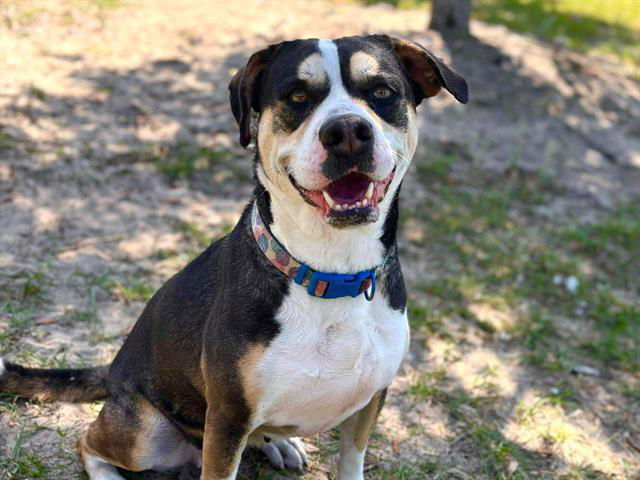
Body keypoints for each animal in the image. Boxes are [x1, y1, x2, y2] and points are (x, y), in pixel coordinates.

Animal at [2, 34, 468, 480]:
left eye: (382, 91)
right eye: (297, 95)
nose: (348, 131)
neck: (331, 272)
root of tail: (113, 368)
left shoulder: (369, 403)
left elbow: (352, 463)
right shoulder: (227, 418)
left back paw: (279, 442)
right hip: (146, 433)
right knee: (89, 443)